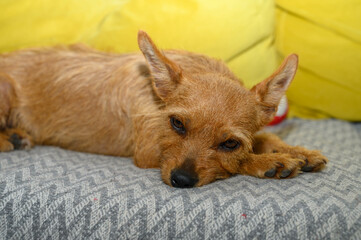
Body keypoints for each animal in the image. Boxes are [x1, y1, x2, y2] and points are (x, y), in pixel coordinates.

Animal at [0, 30, 326, 188]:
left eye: (230, 143)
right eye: (177, 124)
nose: (180, 181)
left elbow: (262, 138)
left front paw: (299, 152)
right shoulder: (146, 151)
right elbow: (240, 161)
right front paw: (269, 161)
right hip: (5, 91)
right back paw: (10, 138)